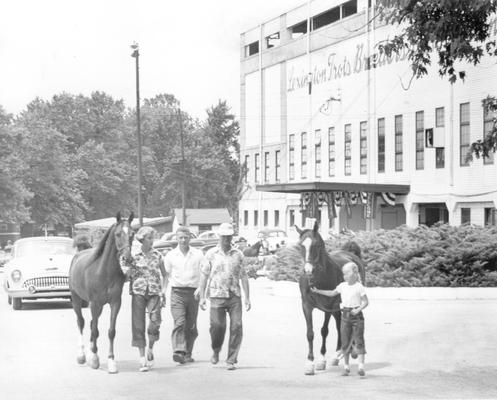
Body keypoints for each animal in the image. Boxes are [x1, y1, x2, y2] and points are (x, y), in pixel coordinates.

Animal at [69, 212, 134, 372]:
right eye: (117, 234)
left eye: (132, 234)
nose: (127, 258)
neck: (104, 271)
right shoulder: (95, 303)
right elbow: (94, 330)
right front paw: (94, 359)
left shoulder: (115, 303)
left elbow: (111, 331)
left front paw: (111, 361)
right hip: (76, 299)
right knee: (81, 322)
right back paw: (82, 355)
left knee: (92, 323)